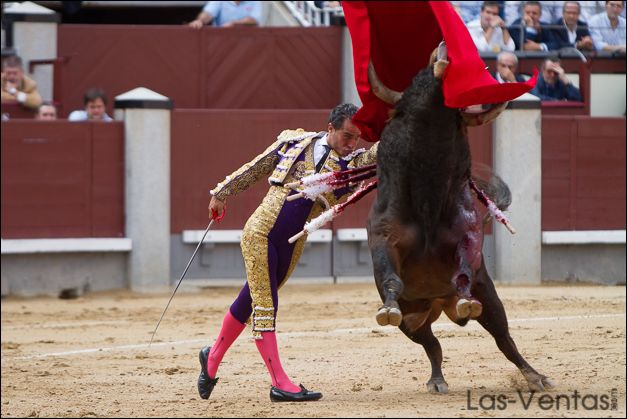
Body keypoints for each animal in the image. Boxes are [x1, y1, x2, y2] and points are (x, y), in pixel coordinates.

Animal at [366, 51, 556, 394]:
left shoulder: (467, 237)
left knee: (504, 339)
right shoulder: (384, 238)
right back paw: (437, 380)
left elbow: (464, 270)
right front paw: (387, 307)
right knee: (432, 344)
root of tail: (441, 303)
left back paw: (535, 377)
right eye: (409, 104)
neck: (427, 200)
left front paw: (466, 298)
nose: (442, 53)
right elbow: (390, 278)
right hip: (413, 322)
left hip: (491, 299)